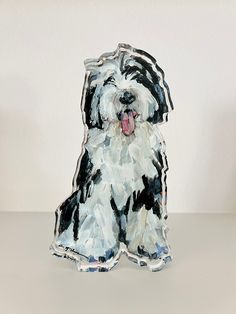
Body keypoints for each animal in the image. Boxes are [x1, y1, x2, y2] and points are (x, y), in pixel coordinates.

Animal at [50, 43, 173, 272]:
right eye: (109, 80)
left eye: (137, 74)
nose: (126, 96)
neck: (124, 141)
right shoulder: (97, 186)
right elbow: (96, 217)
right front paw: (95, 254)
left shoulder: (147, 186)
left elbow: (147, 218)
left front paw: (150, 250)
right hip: (70, 202)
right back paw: (66, 246)